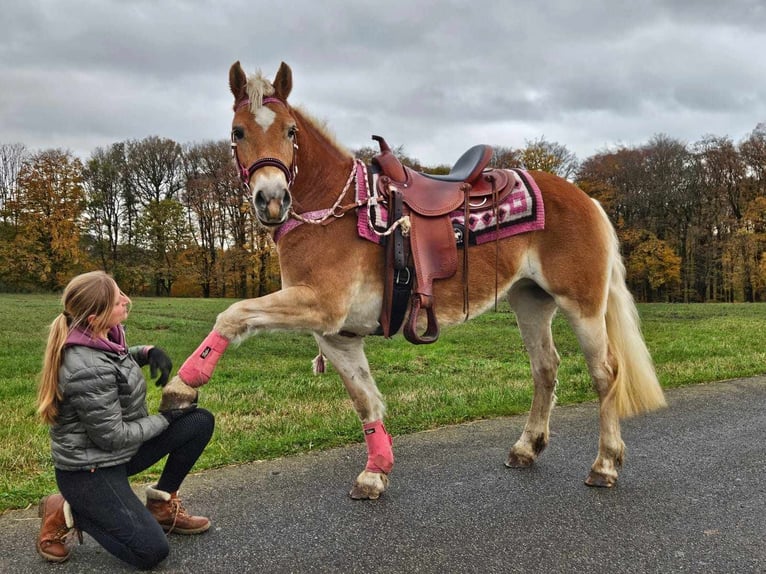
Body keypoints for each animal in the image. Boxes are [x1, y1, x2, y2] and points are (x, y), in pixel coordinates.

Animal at [162, 59, 664, 500]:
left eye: (290, 131)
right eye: (237, 132)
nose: (271, 199)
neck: (335, 210)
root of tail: (586, 198)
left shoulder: (319, 304)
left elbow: (233, 314)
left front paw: (182, 385)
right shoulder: (336, 334)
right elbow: (366, 401)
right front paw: (376, 471)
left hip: (583, 305)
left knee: (605, 373)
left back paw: (605, 464)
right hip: (530, 302)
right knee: (546, 368)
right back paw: (527, 448)